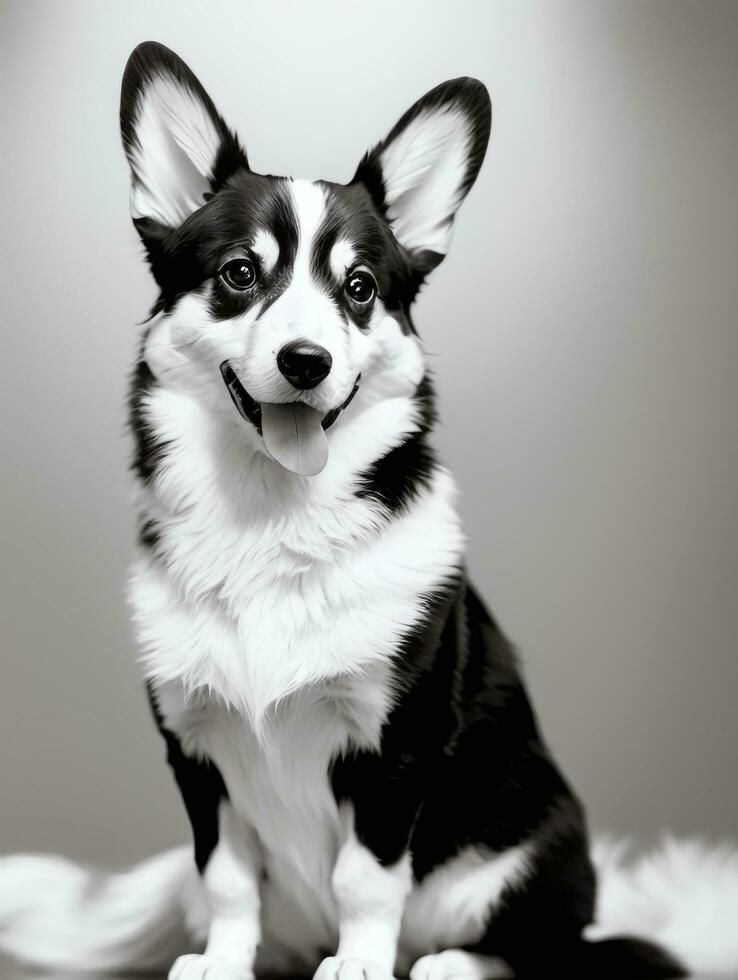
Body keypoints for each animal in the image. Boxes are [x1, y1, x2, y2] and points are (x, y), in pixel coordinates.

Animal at [0, 42, 700, 980]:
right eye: (240, 275)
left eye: (361, 288)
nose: (307, 362)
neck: (271, 516)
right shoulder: (196, 752)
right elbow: (225, 878)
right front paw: (222, 962)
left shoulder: (394, 747)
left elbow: (367, 878)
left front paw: (363, 964)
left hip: (537, 844)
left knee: (545, 945)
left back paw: (445, 965)